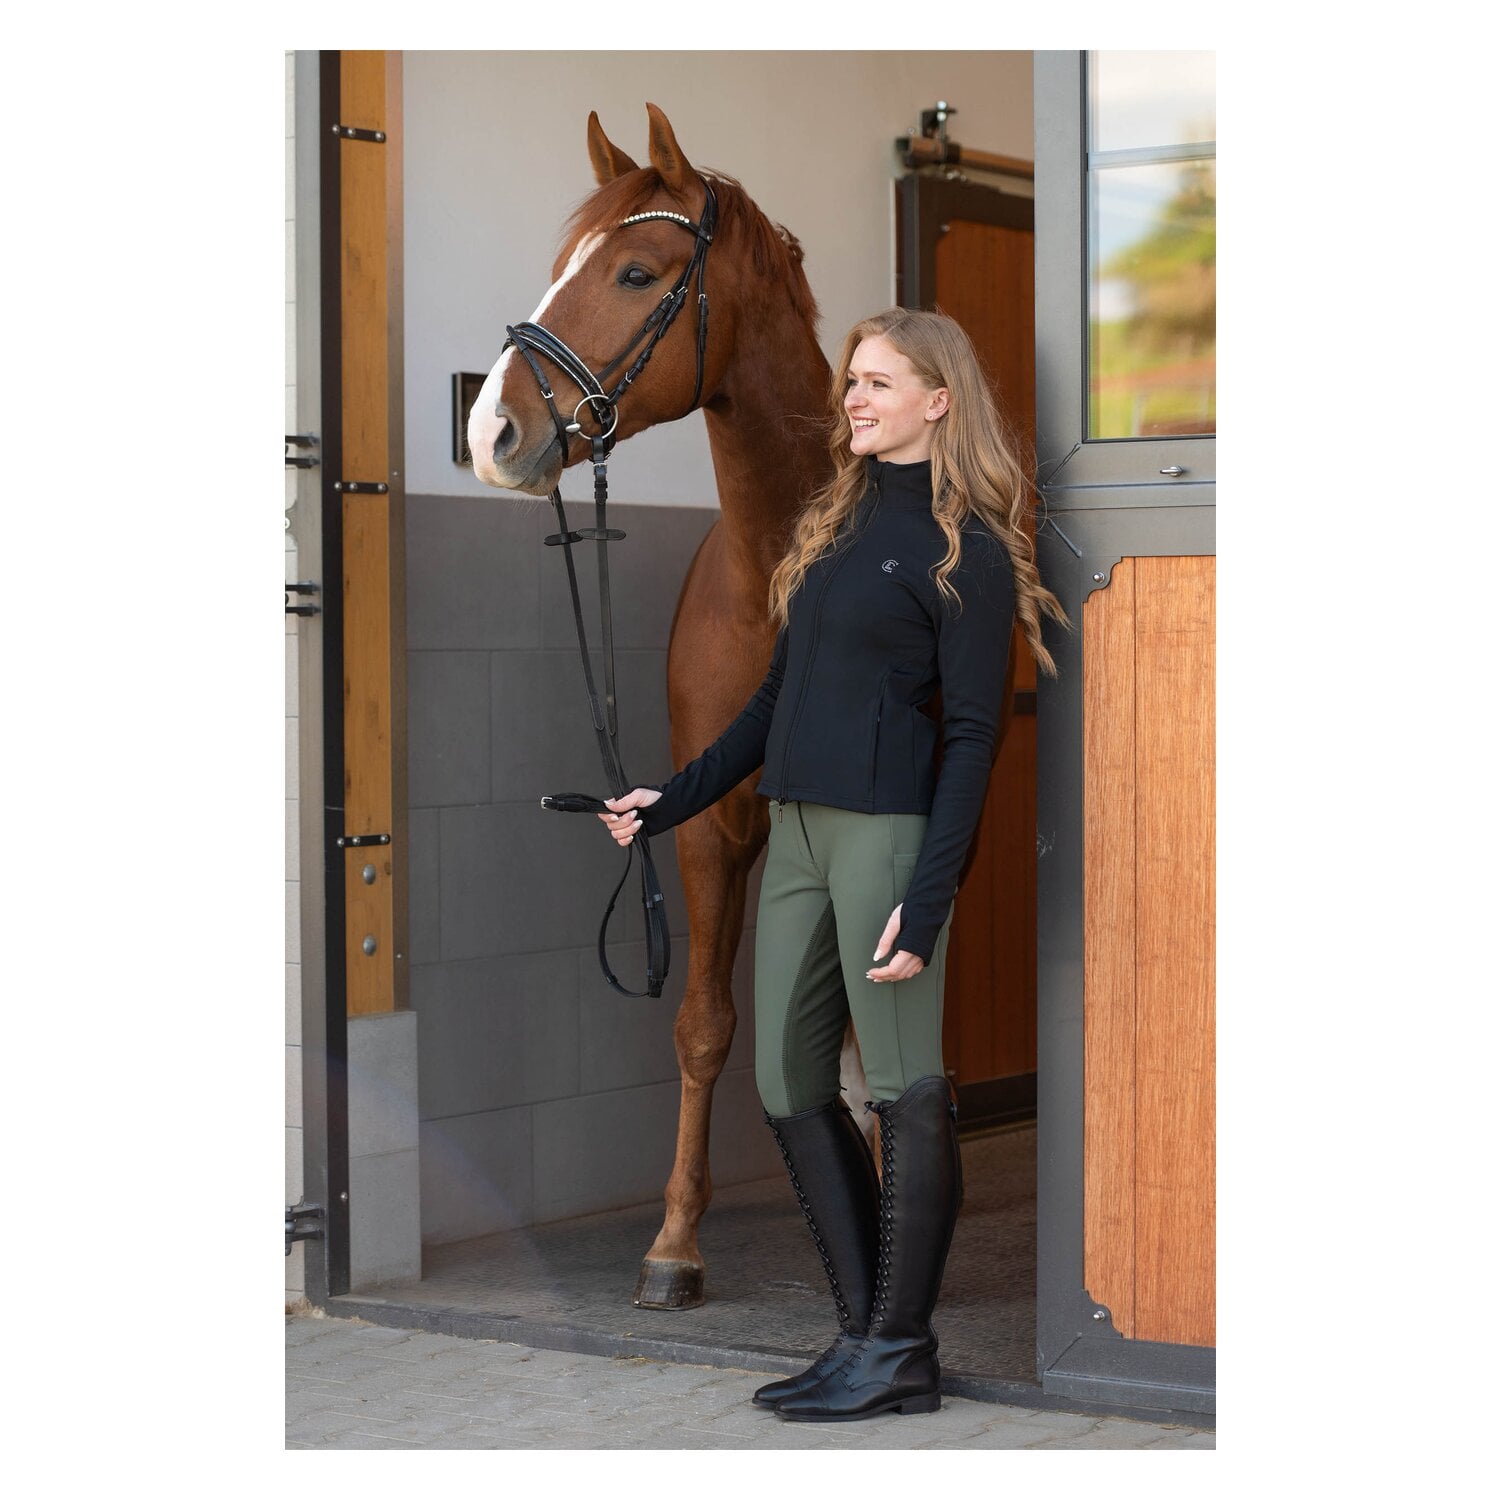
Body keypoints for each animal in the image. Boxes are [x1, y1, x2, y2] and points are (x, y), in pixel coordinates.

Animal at [467, 103, 866, 1310]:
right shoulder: (708, 827)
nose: (490, 433)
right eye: (560, 265)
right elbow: (704, 1028)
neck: (782, 575)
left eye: (637, 272)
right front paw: (674, 1244)